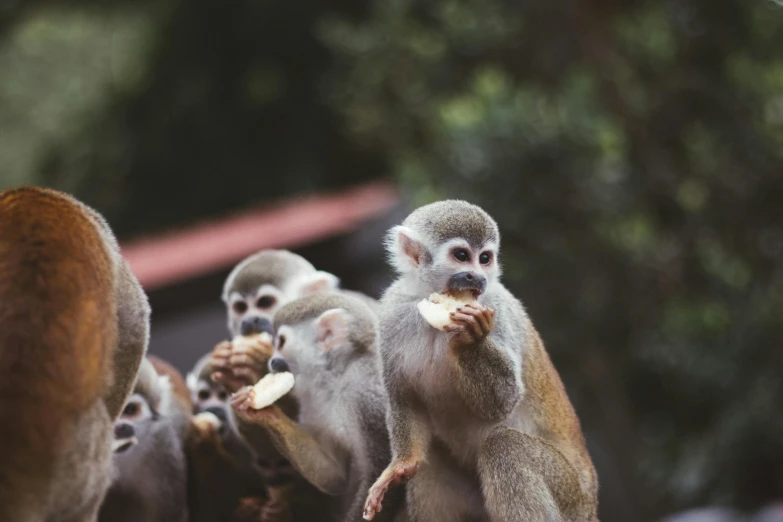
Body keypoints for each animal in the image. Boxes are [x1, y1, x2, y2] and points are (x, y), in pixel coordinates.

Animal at [362, 199, 600, 520]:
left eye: (485, 259)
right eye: (462, 256)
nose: (477, 276)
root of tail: (590, 503)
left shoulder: (497, 308)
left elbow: (504, 400)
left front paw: (472, 339)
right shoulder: (391, 313)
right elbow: (403, 397)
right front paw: (401, 465)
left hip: (570, 495)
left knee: (506, 447)